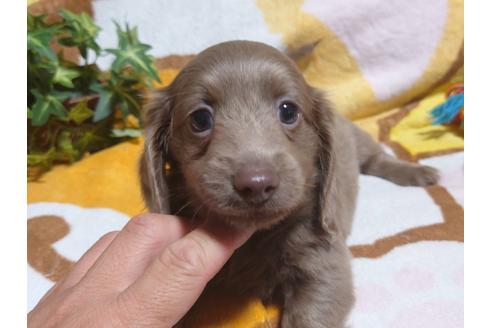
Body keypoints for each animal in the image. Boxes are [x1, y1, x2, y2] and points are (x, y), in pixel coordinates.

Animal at [139, 39, 438, 326]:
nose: (256, 183)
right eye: (200, 119)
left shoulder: (326, 262)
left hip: (357, 139)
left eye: (288, 111)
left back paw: (418, 173)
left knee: (377, 158)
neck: (256, 238)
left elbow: (310, 315)